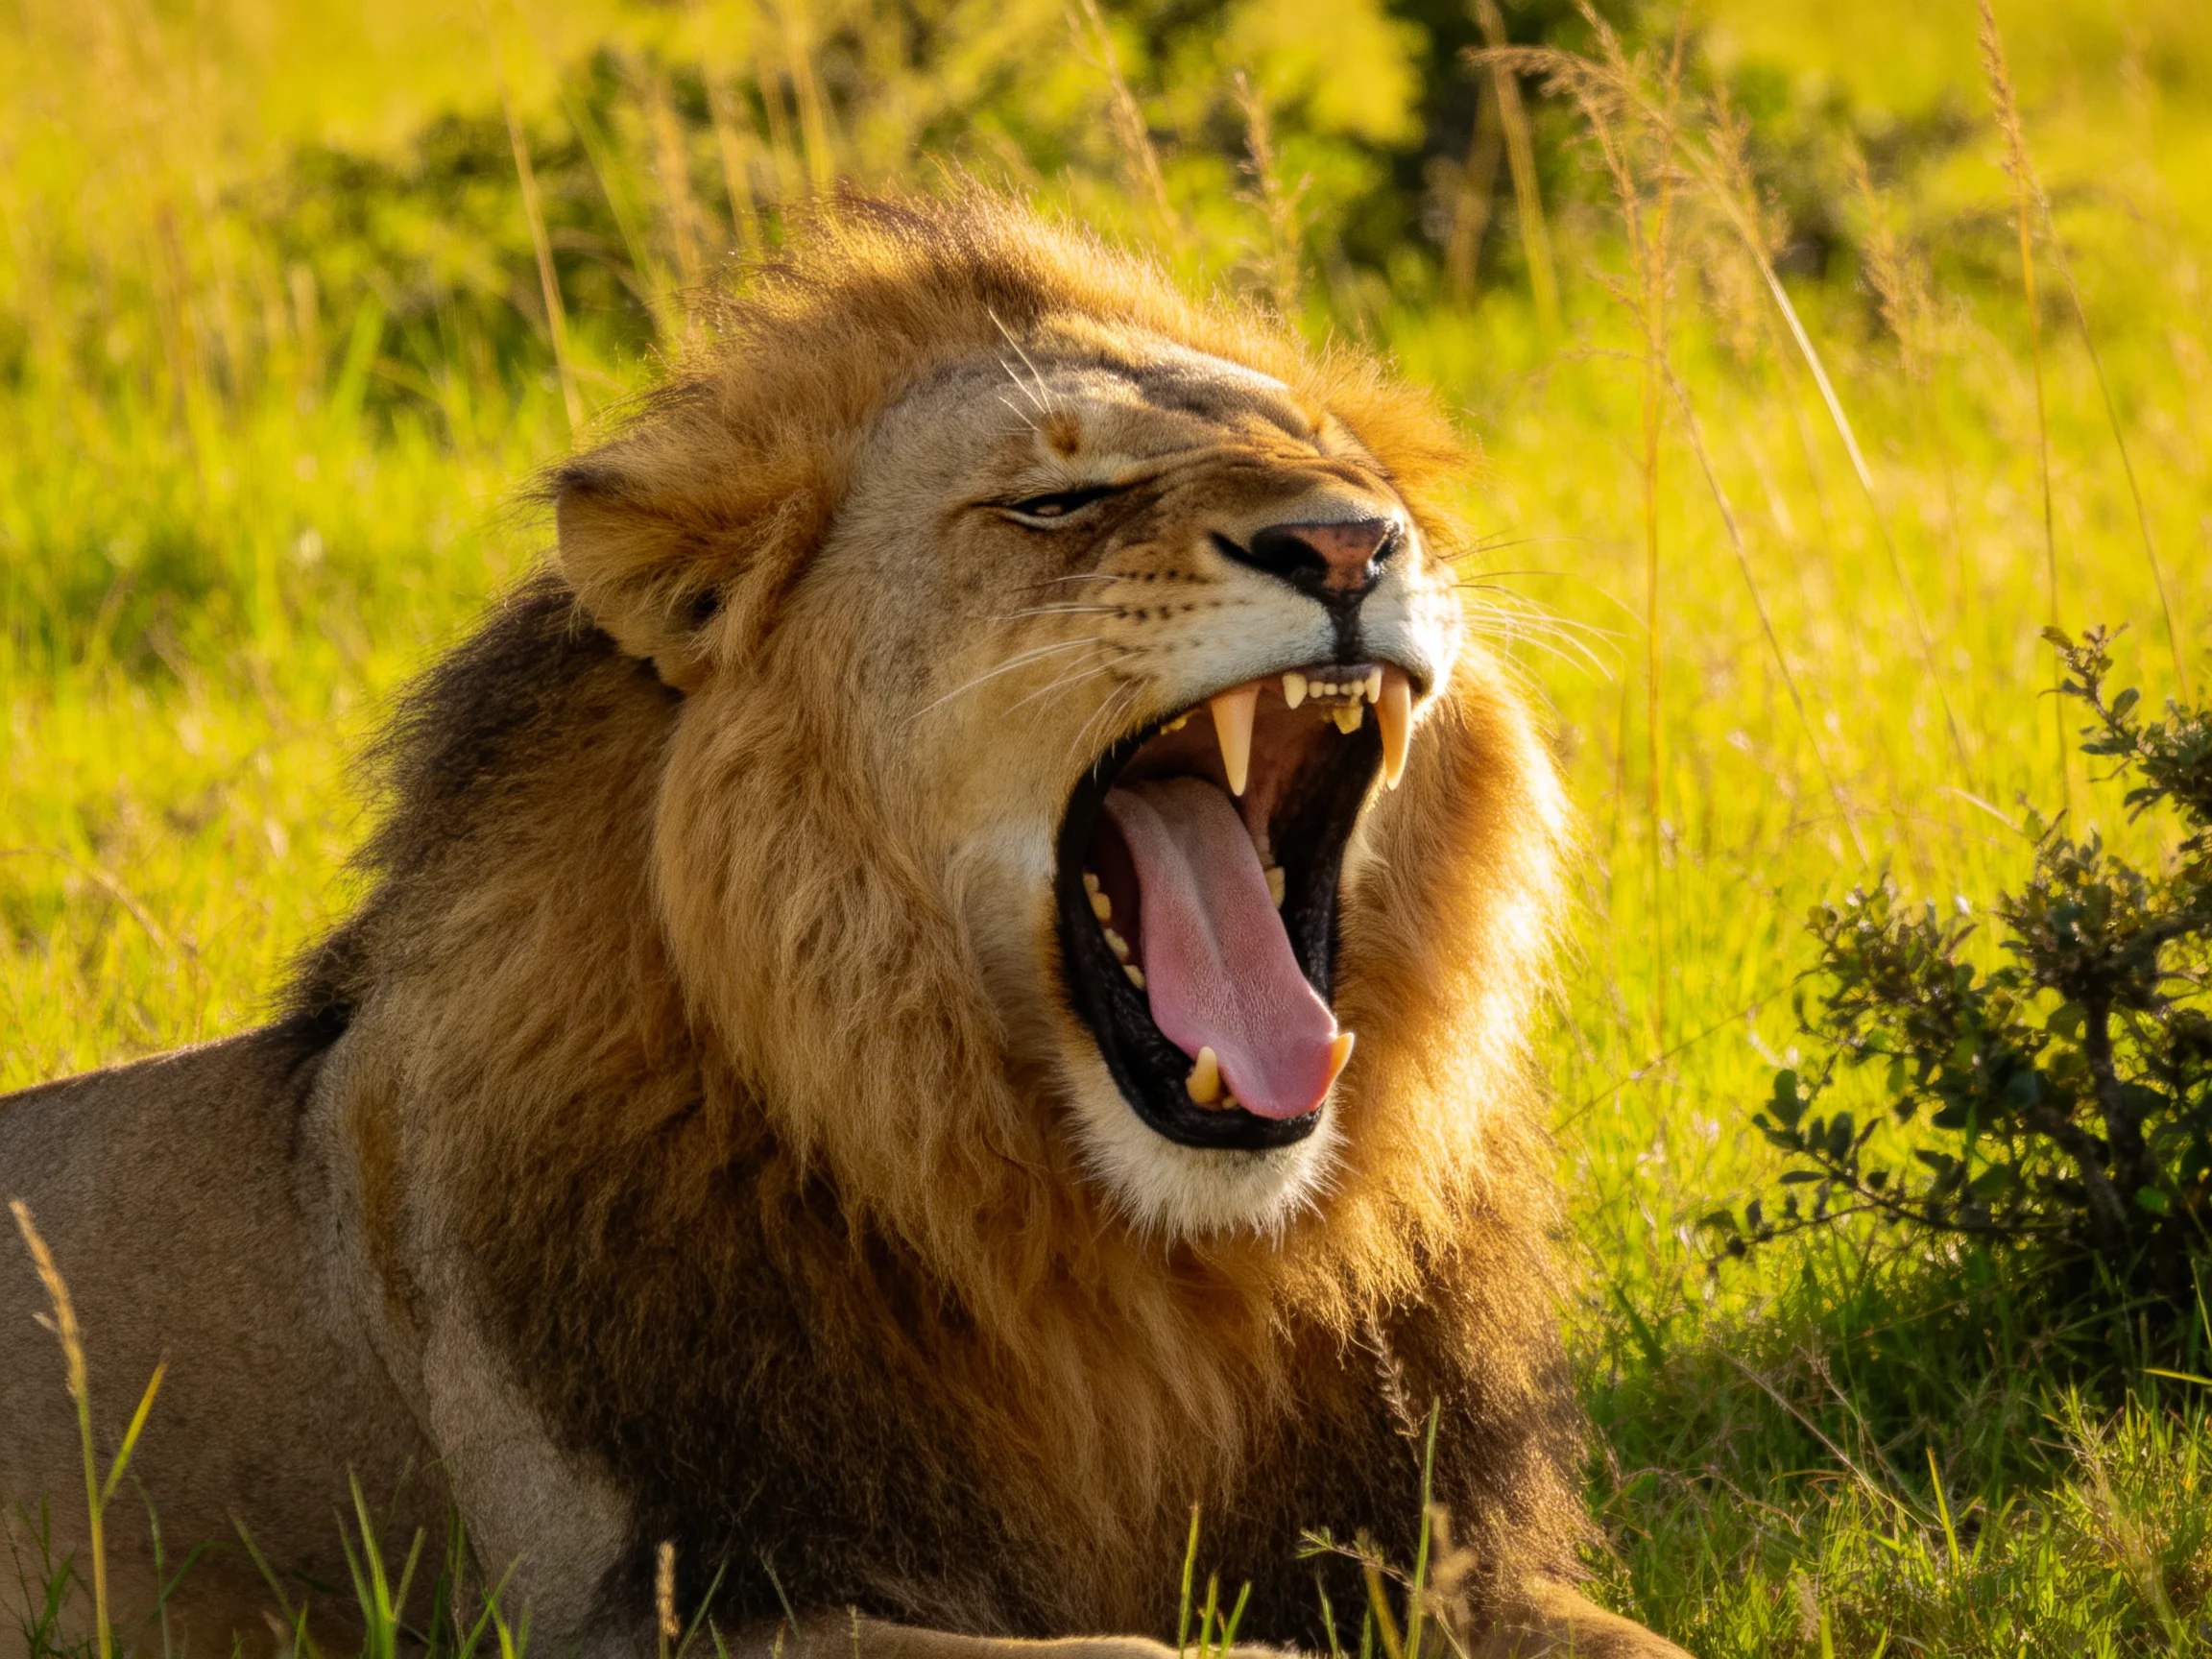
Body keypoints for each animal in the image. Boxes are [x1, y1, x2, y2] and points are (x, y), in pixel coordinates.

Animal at [0, 197, 1686, 1659]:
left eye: (1350, 470)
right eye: (1055, 500)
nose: (1349, 544)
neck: (1137, 1276)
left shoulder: (1437, 1550)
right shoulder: (661, 1602)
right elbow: (1133, 1651)